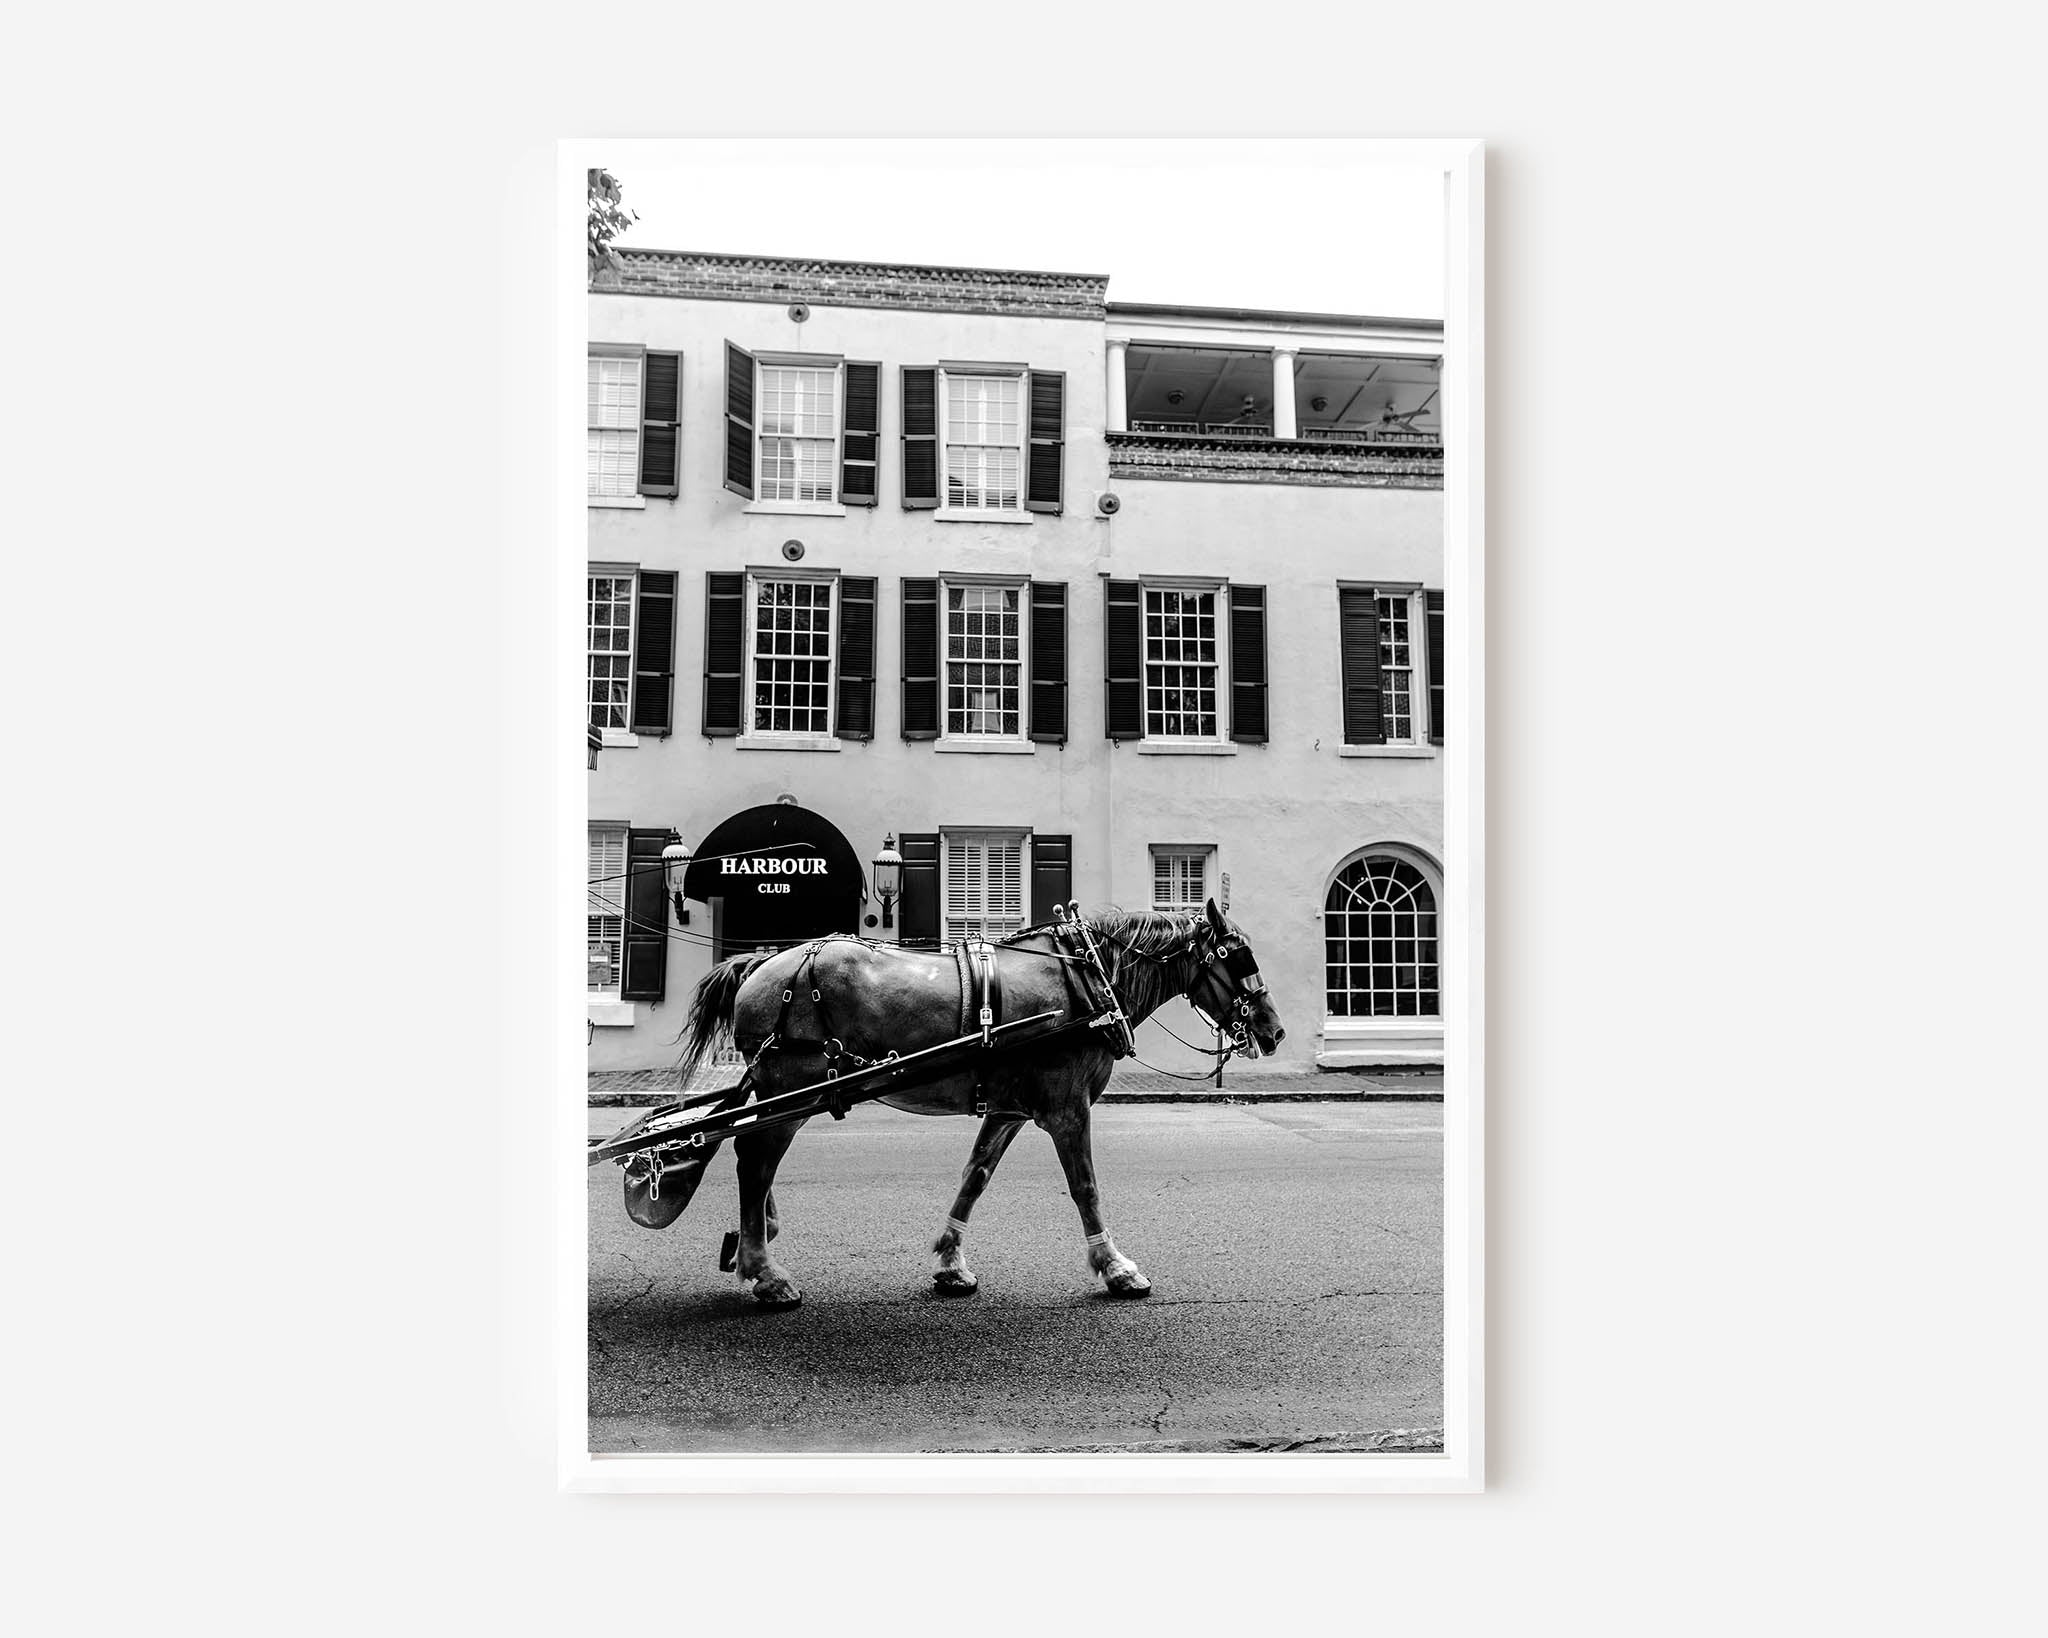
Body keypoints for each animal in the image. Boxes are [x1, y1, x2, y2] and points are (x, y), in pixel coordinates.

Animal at [672, 899, 1287, 1308]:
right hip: (791, 1088)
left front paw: (950, 1261)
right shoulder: (1067, 1109)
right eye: (1239, 956)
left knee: (755, 1159)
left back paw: (757, 1243)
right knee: (754, 1161)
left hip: (784, 1093)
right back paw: (765, 1272)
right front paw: (1114, 1268)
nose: (1274, 1029)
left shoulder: (1008, 1109)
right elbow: (1085, 1187)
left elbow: (976, 1176)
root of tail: (762, 963)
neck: (1086, 977)